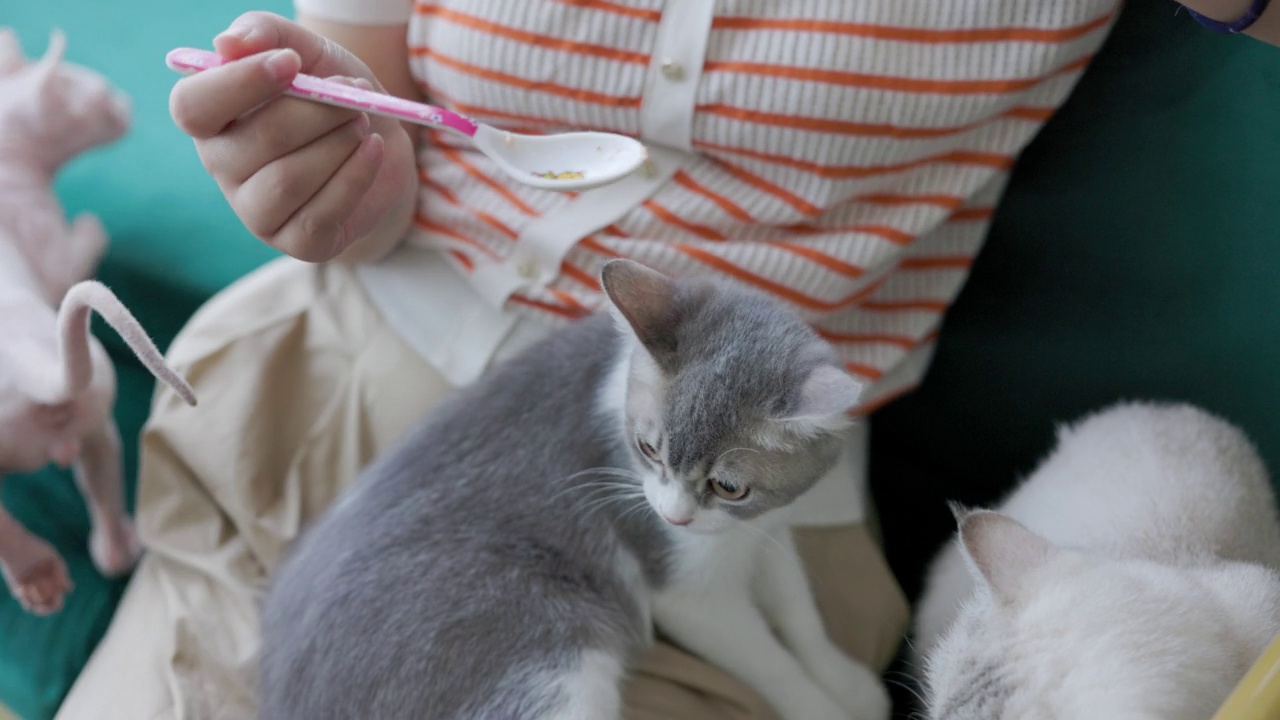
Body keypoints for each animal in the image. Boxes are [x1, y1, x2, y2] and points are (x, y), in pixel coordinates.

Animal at [254, 258, 885, 717]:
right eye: (648, 449)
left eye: (729, 487)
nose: (675, 516)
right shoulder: (684, 589)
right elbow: (768, 659)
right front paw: (822, 706)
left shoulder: (766, 529)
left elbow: (797, 607)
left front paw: (845, 681)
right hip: (543, 655)